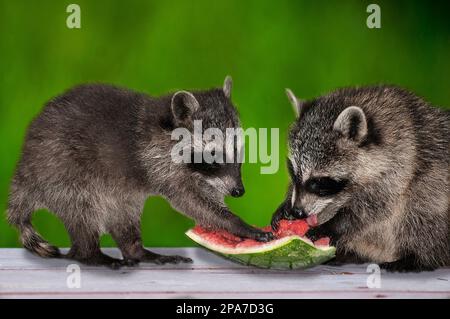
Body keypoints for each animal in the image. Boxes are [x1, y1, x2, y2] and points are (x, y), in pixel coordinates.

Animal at [7, 76, 272, 268]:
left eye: (238, 151)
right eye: (214, 154)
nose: (238, 191)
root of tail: (24, 170)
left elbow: (207, 194)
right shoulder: (158, 163)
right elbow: (193, 202)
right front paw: (237, 223)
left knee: (123, 213)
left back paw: (136, 250)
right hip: (61, 171)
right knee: (82, 210)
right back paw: (90, 253)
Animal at [270, 85, 450, 272]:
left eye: (319, 182)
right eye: (292, 172)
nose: (297, 211)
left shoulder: (403, 160)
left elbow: (372, 208)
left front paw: (333, 225)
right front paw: (285, 205)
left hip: (435, 180)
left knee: (422, 205)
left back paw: (417, 257)